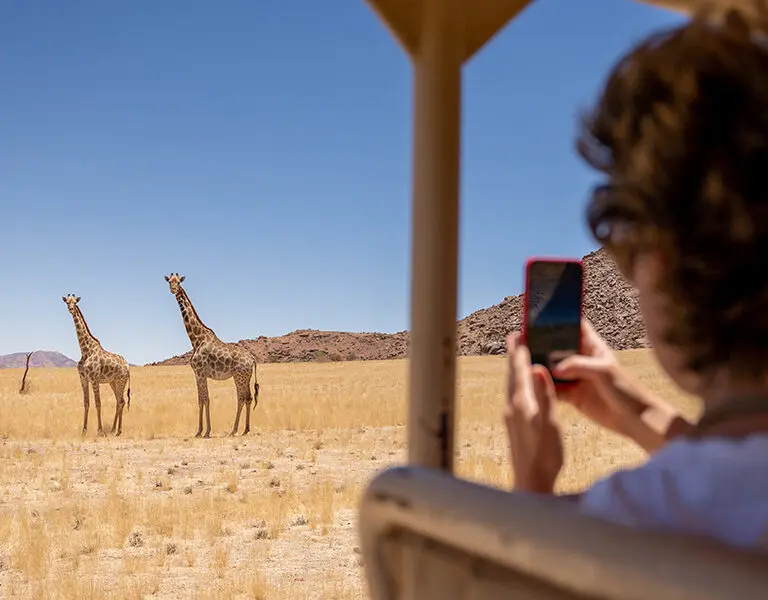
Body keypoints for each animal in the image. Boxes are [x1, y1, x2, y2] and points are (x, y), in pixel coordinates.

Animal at [62, 294, 131, 437]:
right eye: (67, 302)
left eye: (75, 302)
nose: (70, 309)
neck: (85, 350)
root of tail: (128, 367)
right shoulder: (83, 379)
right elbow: (86, 403)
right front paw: (84, 431)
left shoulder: (94, 379)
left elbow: (98, 403)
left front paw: (100, 431)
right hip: (113, 382)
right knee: (119, 401)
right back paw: (113, 429)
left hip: (121, 381)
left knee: (121, 401)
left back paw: (118, 430)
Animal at [164, 273, 260, 438]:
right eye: (169, 281)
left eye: (178, 282)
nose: (173, 289)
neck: (196, 340)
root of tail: (253, 359)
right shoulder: (197, 374)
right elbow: (200, 399)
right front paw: (200, 431)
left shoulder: (201, 373)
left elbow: (206, 400)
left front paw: (206, 431)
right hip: (245, 377)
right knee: (248, 397)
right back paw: (245, 430)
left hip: (239, 376)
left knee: (241, 398)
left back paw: (234, 430)